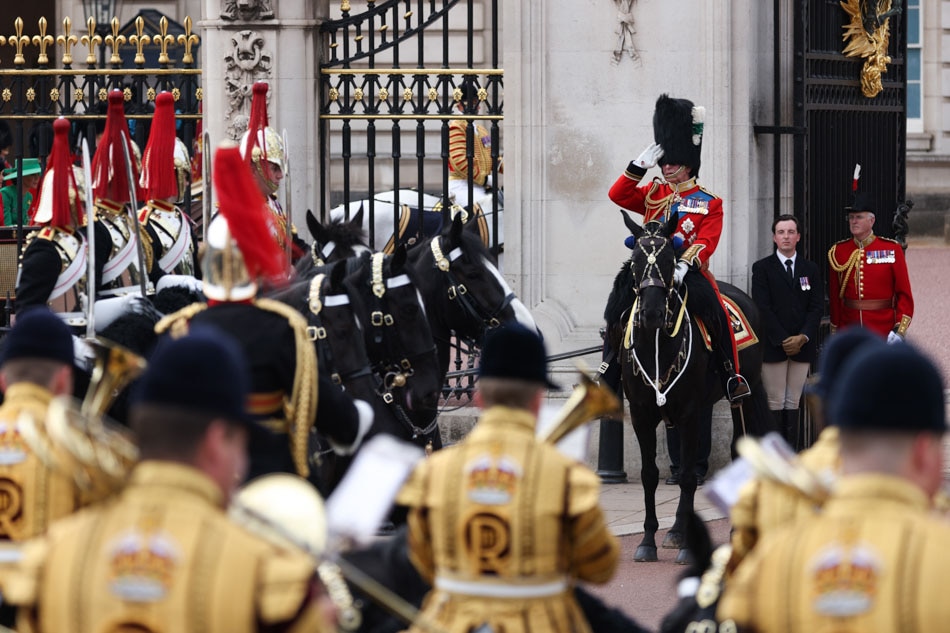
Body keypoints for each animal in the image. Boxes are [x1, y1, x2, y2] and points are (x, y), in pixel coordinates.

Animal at [608, 215, 772, 560]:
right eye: (635, 261)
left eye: (671, 261)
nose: (652, 314)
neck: (657, 346)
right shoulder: (642, 415)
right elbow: (649, 475)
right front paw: (648, 541)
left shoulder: (689, 414)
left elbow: (685, 475)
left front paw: (683, 542)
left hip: (742, 395)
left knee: (737, 447)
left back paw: (733, 531)